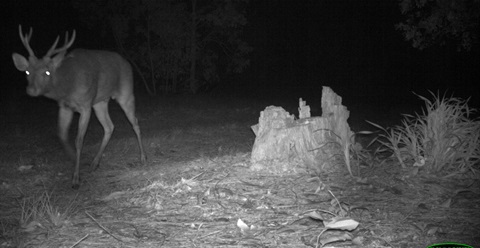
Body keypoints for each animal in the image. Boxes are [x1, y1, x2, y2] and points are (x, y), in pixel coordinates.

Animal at [11, 25, 146, 189]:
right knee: (109, 126)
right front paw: (73, 159)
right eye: (27, 71)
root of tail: (127, 63)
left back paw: (143, 158)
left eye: (47, 72)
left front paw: (76, 178)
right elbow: (61, 135)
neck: (67, 87)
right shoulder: (65, 107)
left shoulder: (85, 105)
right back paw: (95, 163)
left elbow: (79, 140)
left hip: (125, 93)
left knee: (135, 123)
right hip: (100, 102)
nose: (31, 90)